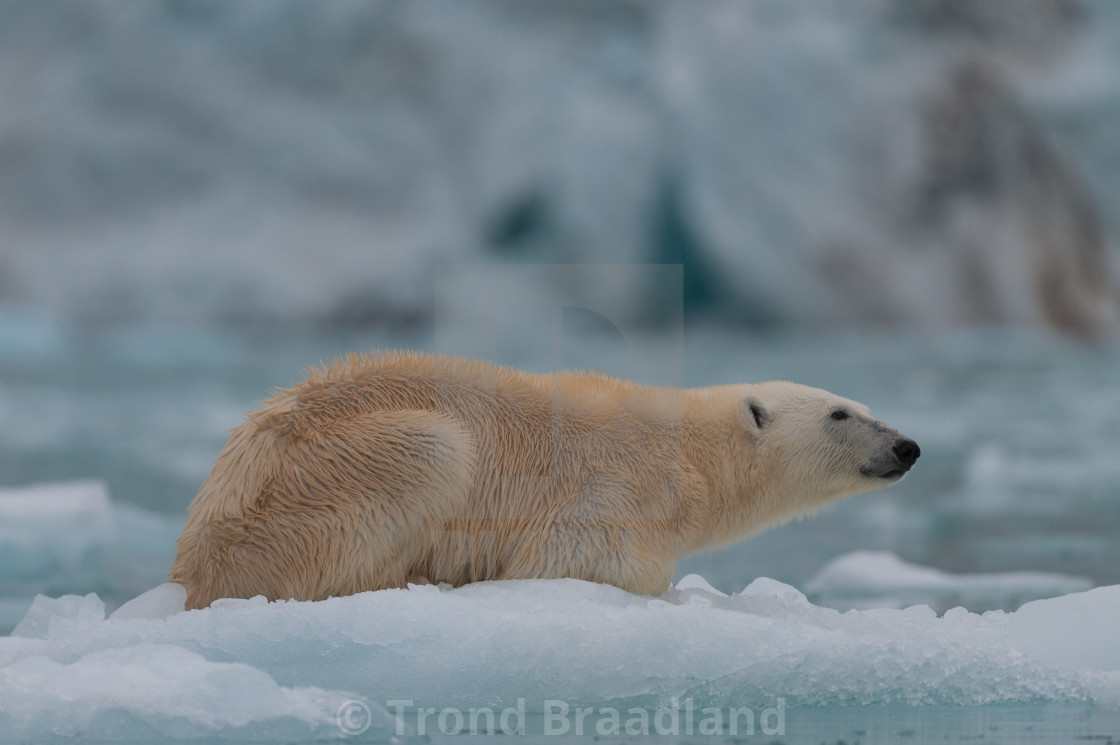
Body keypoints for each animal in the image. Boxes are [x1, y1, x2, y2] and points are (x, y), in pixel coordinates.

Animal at [168, 351, 918, 609]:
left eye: (863, 405)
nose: (908, 446)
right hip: (313, 484)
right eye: (840, 412)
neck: (688, 457)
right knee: (433, 449)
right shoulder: (611, 491)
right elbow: (579, 561)